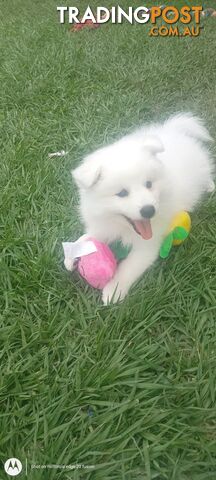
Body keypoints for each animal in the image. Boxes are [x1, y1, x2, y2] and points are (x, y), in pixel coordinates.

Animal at [69, 113, 214, 304]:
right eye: (122, 193)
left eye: (148, 184)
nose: (149, 210)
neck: (123, 228)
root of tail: (175, 131)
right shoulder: (104, 225)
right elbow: (86, 238)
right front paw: (72, 253)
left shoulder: (147, 247)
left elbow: (128, 267)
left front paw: (113, 291)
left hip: (201, 168)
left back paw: (211, 186)